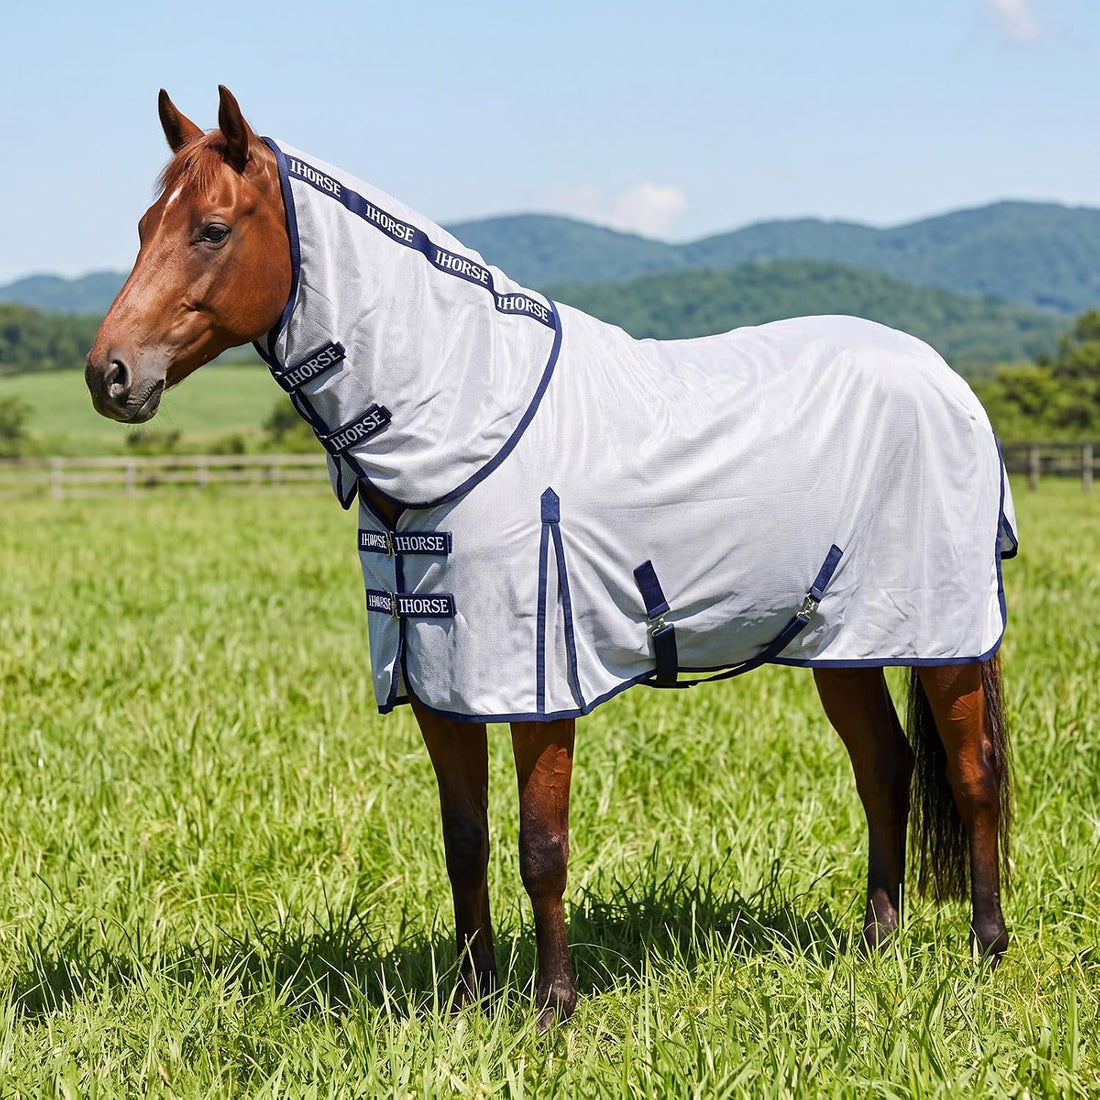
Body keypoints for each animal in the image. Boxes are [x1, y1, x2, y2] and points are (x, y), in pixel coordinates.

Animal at [86, 86, 1016, 1026]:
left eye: (211, 229)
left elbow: (542, 846)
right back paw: (877, 944)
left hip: (944, 639)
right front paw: (471, 998)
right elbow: (464, 841)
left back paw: (986, 948)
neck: (467, 417)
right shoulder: (440, 685)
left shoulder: (538, 688)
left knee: (972, 773)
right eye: (143, 225)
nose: (108, 374)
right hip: (842, 642)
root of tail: (946, 378)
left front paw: (552, 1006)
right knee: (884, 769)